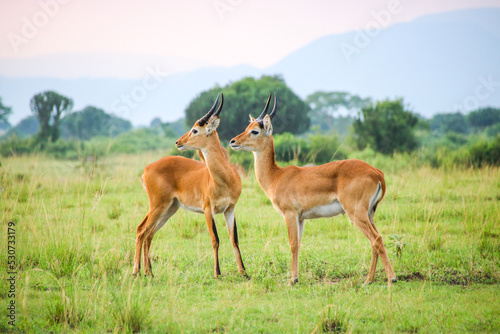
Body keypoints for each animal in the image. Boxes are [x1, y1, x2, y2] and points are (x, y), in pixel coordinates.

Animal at [135, 94, 246, 280]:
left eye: (195, 130)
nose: (178, 142)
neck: (224, 179)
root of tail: (146, 169)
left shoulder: (230, 208)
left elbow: (234, 239)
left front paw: (244, 272)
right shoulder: (208, 209)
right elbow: (215, 239)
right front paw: (217, 273)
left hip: (170, 208)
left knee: (149, 233)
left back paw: (149, 272)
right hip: (158, 205)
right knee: (141, 230)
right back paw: (136, 271)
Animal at [229, 93, 396, 284]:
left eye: (255, 130)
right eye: (247, 126)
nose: (233, 141)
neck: (275, 176)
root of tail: (377, 173)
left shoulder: (290, 214)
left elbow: (293, 244)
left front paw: (292, 280)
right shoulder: (301, 218)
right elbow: (299, 244)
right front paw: (295, 278)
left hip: (356, 212)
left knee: (377, 238)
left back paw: (392, 278)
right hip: (369, 213)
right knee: (375, 240)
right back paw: (368, 280)